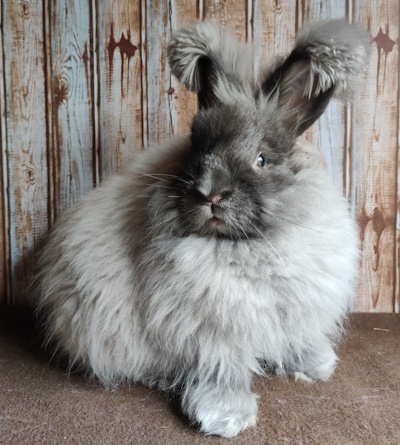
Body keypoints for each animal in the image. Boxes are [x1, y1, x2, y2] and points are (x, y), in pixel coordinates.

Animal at [36, 19, 370, 436]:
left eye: (262, 159)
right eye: (197, 152)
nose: (209, 193)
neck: (246, 245)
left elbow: (293, 338)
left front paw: (314, 365)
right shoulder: (207, 330)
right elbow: (219, 367)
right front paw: (226, 416)